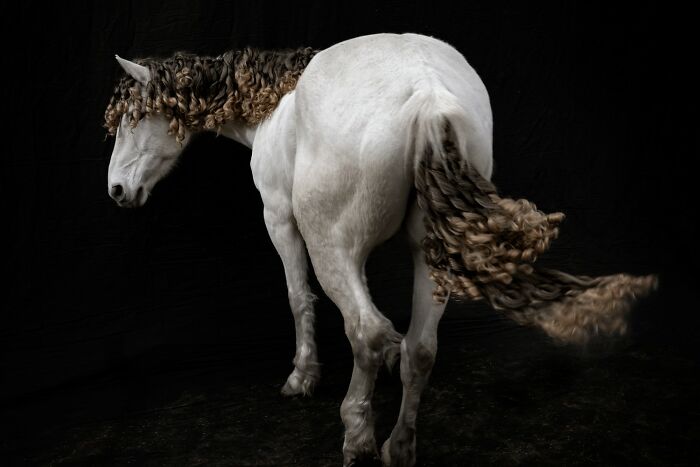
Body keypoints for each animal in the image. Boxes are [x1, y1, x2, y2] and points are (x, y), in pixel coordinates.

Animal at [104, 33, 656, 467]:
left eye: (132, 118)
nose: (116, 190)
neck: (275, 106)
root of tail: (429, 96)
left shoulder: (280, 219)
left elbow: (299, 299)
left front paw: (302, 377)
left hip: (330, 245)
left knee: (364, 331)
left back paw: (358, 435)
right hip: (431, 257)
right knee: (421, 348)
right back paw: (399, 446)